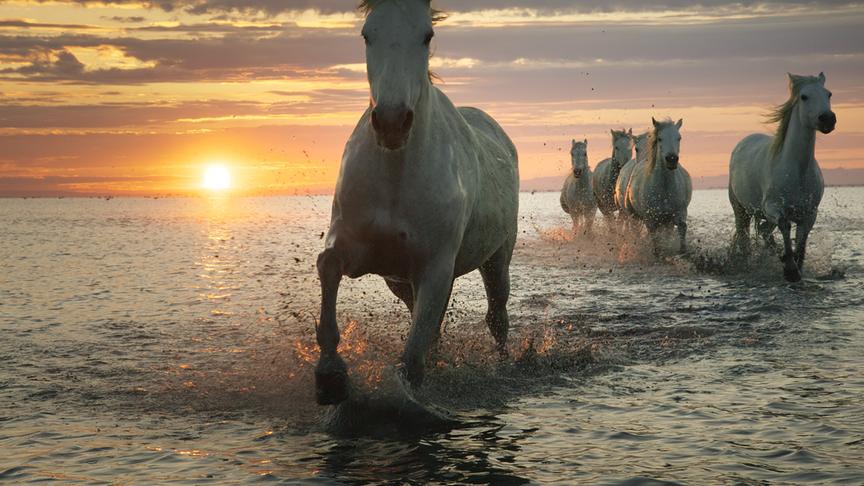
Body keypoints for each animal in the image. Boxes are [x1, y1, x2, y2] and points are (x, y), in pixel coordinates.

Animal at [314, 0, 520, 406]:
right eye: (367, 34)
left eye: (427, 35)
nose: (392, 122)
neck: (396, 174)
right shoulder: (359, 249)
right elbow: (328, 265)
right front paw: (329, 373)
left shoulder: (435, 269)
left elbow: (411, 360)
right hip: (401, 282)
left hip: (496, 260)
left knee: (497, 317)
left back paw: (503, 365)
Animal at [621, 118, 692, 255]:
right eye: (660, 138)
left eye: (679, 138)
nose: (671, 159)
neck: (664, 188)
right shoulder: (651, 220)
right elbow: (655, 243)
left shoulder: (679, 213)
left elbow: (682, 229)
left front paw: (682, 251)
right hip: (634, 215)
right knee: (636, 232)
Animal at [729, 72, 836, 282]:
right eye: (804, 96)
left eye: (828, 94)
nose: (827, 119)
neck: (797, 171)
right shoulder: (773, 208)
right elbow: (785, 226)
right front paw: (790, 269)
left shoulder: (809, 214)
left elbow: (801, 241)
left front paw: (795, 265)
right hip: (741, 210)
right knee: (745, 237)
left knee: (764, 230)